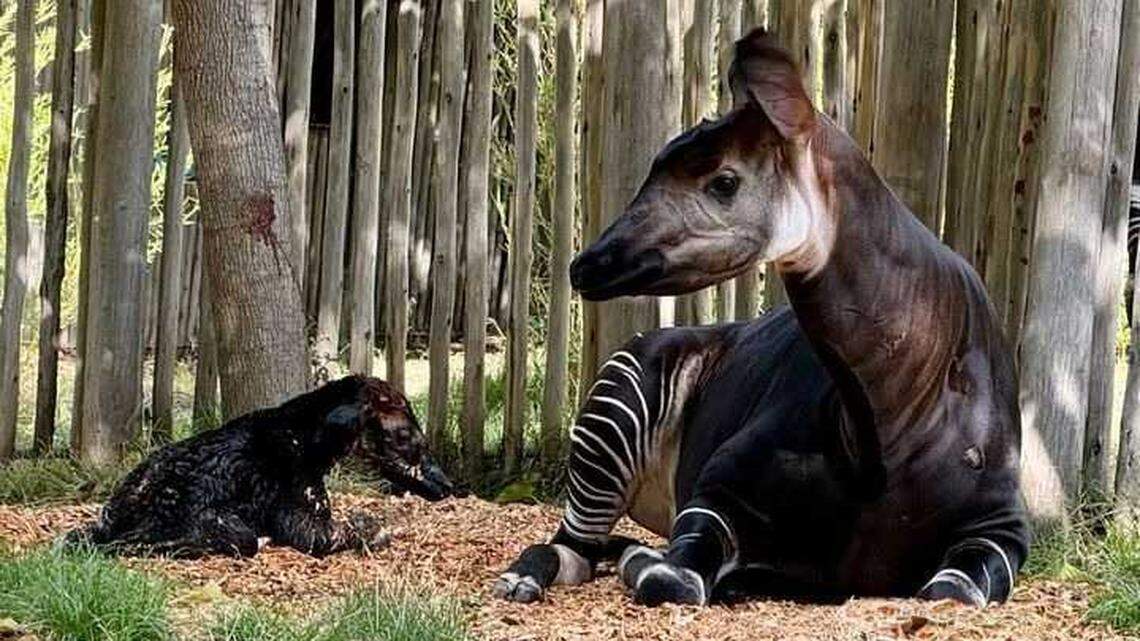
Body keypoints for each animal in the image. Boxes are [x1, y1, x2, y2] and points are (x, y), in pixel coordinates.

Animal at [493, 29, 1028, 608]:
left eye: (724, 181)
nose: (585, 264)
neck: (884, 424)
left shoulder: (999, 530)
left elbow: (950, 592)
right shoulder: (717, 489)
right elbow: (671, 577)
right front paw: (660, 565)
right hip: (616, 399)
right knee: (572, 548)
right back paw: (523, 579)